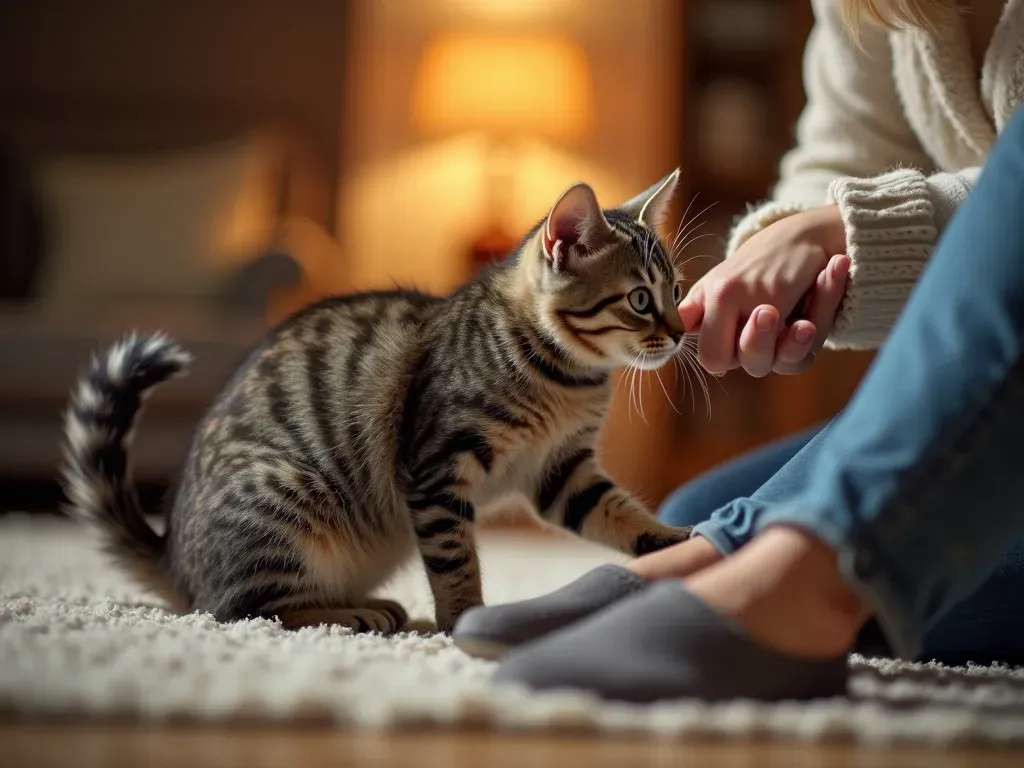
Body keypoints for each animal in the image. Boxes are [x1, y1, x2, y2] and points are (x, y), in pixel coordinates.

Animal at [61, 171, 696, 634]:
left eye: (676, 290)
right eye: (641, 300)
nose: (683, 329)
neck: (569, 381)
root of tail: (176, 559)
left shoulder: (561, 470)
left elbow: (620, 514)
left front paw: (680, 541)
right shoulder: (437, 467)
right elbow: (455, 559)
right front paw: (463, 620)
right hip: (286, 501)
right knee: (246, 610)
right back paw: (355, 613)